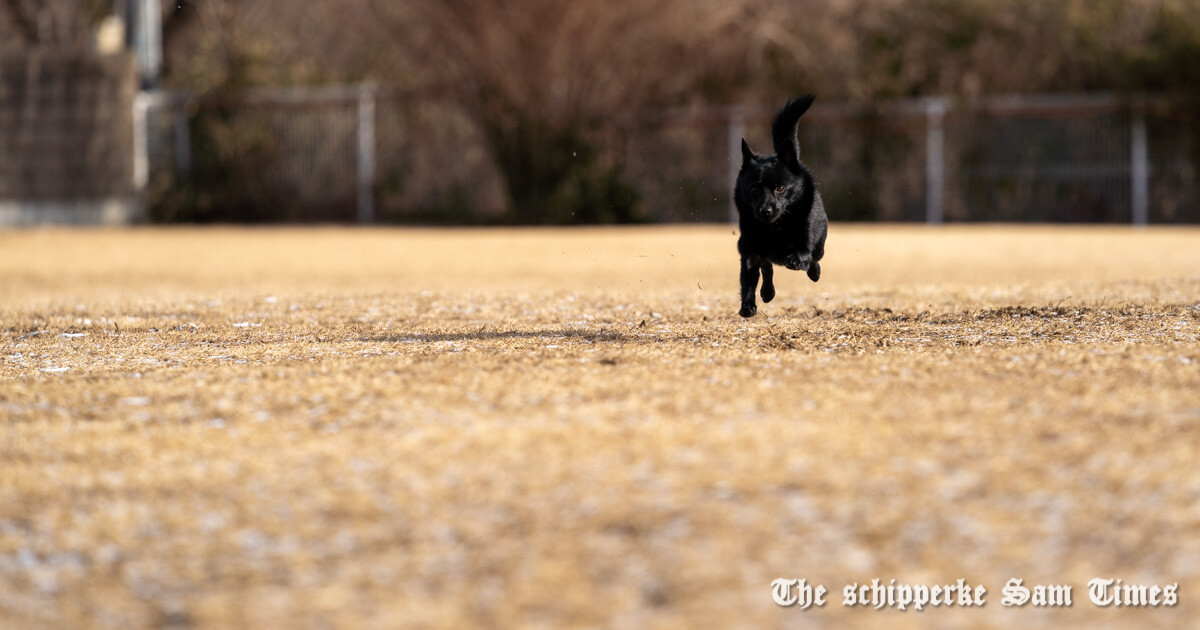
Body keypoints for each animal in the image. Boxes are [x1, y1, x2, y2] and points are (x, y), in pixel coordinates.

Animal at [729, 94, 825, 316]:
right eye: (754, 189)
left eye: (780, 188)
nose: (766, 211)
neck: (774, 228)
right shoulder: (749, 250)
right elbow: (749, 278)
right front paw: (747, 306)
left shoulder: (805, 243)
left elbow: (803, 254)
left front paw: (797, 261)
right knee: (767, 268)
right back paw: (767, 293)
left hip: (820, 245)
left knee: (815, 259)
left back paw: (814, 273)